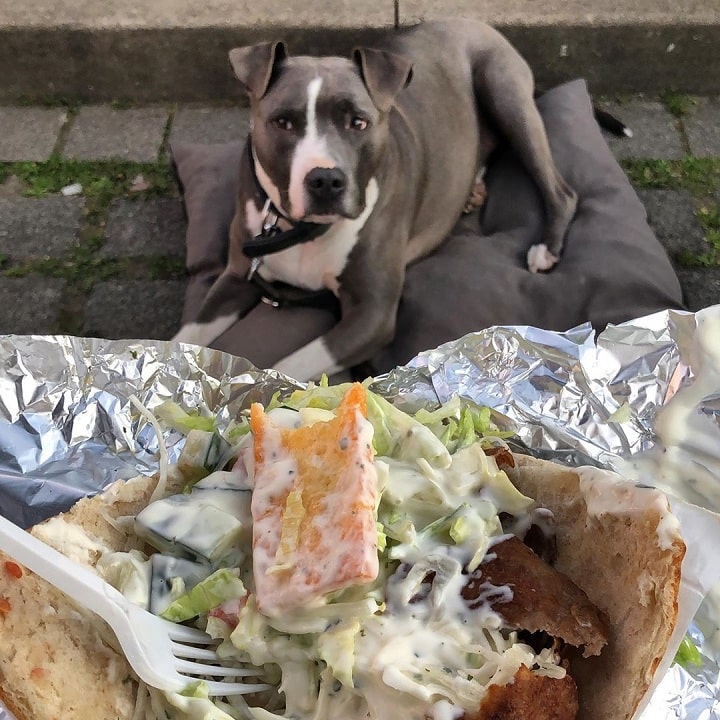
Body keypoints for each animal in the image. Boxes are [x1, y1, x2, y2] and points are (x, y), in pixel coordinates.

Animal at [174, 19, 580, 382]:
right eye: (283, 122)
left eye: (359, 122)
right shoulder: (237, 275)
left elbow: (287, 365)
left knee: (562, 190)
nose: (325, 180)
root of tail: (471, 20)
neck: (303, 230)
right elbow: (182, 338)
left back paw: (545, 248)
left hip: (504, 91)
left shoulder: (372, 314)